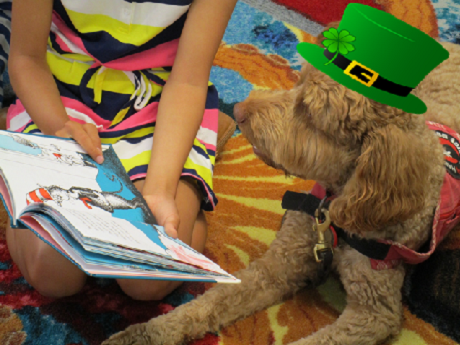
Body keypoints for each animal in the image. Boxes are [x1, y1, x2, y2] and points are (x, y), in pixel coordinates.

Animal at [102, 22, 460, 342]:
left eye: (308, 111)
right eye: (296, 82)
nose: (241, 110)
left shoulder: (374, 312)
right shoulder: (282, 262)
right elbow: (210, 303)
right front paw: (144, 333)